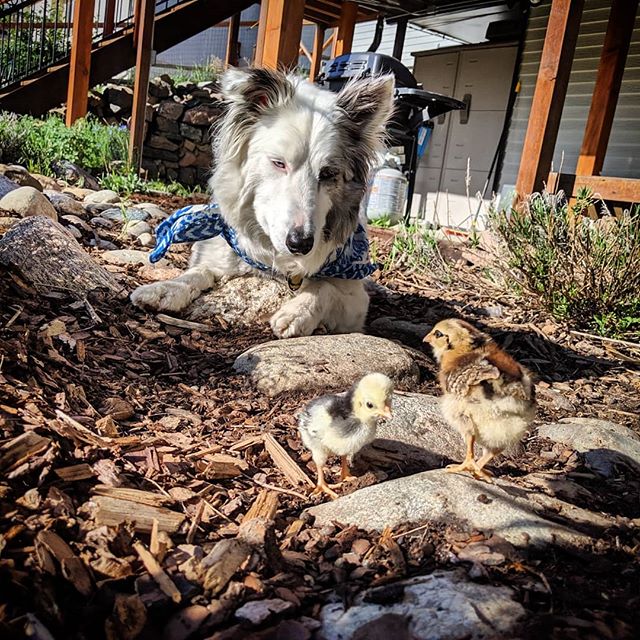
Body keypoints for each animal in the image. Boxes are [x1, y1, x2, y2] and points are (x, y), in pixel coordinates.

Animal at [131, 67, 396, 338]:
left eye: (328, 173)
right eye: (279, 163)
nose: (300, 244)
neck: (274, 259)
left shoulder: (355, 302)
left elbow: (325, 288)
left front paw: (297, 313)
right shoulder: (218, 254)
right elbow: (197, 272)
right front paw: (165, 288)